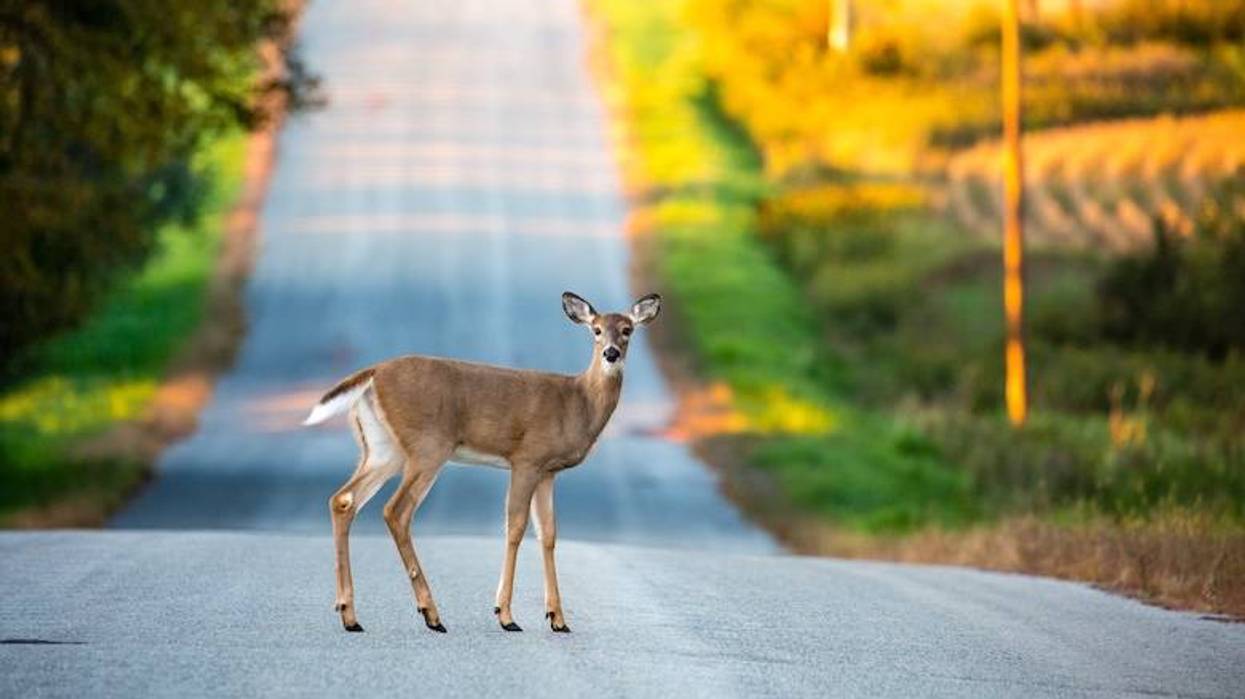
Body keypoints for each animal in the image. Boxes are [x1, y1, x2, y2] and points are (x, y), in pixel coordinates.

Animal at [302, 291, 661, 634]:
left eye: (627, 330)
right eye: (596, 330)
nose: (611, 353)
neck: (578, 403)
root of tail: (373, 374)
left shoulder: (548, 472)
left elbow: (548, 534)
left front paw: (557, 619)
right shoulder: (527, 458)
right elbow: (515, 527)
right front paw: (506, 615)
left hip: (382, 448)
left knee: (343, 500)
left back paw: (350, 616)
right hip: (428, 447)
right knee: (396, 511)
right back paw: (431, 614)